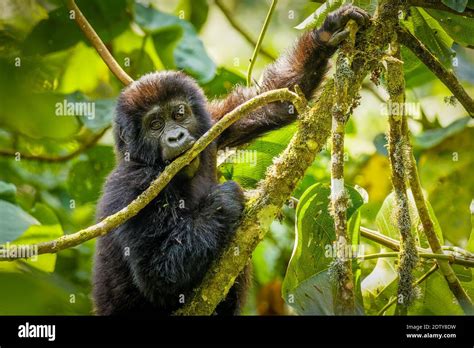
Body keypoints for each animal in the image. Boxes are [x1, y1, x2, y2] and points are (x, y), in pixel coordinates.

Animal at [93, 5, 370, 316]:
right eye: (154, 125)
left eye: (179, 114)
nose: (176, 136)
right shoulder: (133, 186)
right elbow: (156, 273)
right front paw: (224, 199)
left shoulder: (212, 124)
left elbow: (269, 101)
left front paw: (326, 33)